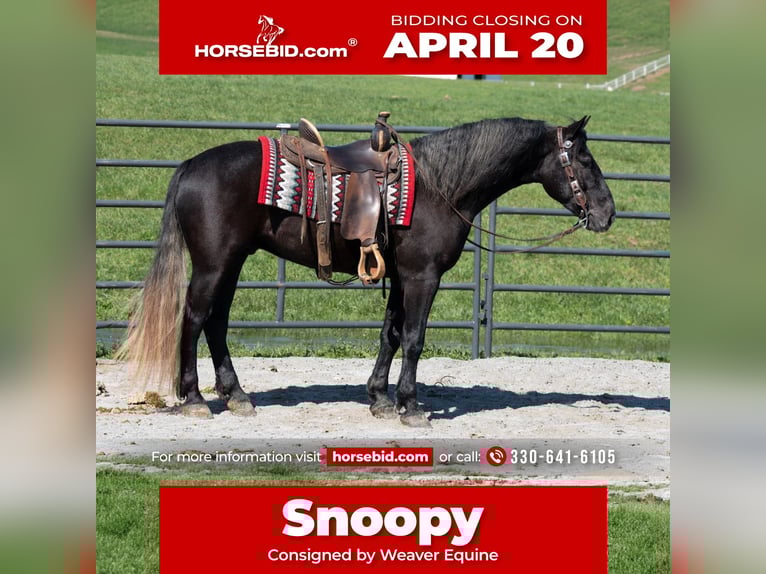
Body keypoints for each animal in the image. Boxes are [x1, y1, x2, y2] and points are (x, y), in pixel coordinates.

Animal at [116, 115, 615, 427]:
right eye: (584, 160)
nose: (608, 214)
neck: (440, 185)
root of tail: (190, 166)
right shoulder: (423, 277)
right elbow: (413, 339)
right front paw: (410, 407)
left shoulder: (401, 276)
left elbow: (390, 335)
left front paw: (379, 399)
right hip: (214, 263)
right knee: (194, 319)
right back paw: (195, 399)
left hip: (232, 262)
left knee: (216, 323)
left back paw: (236, 396)